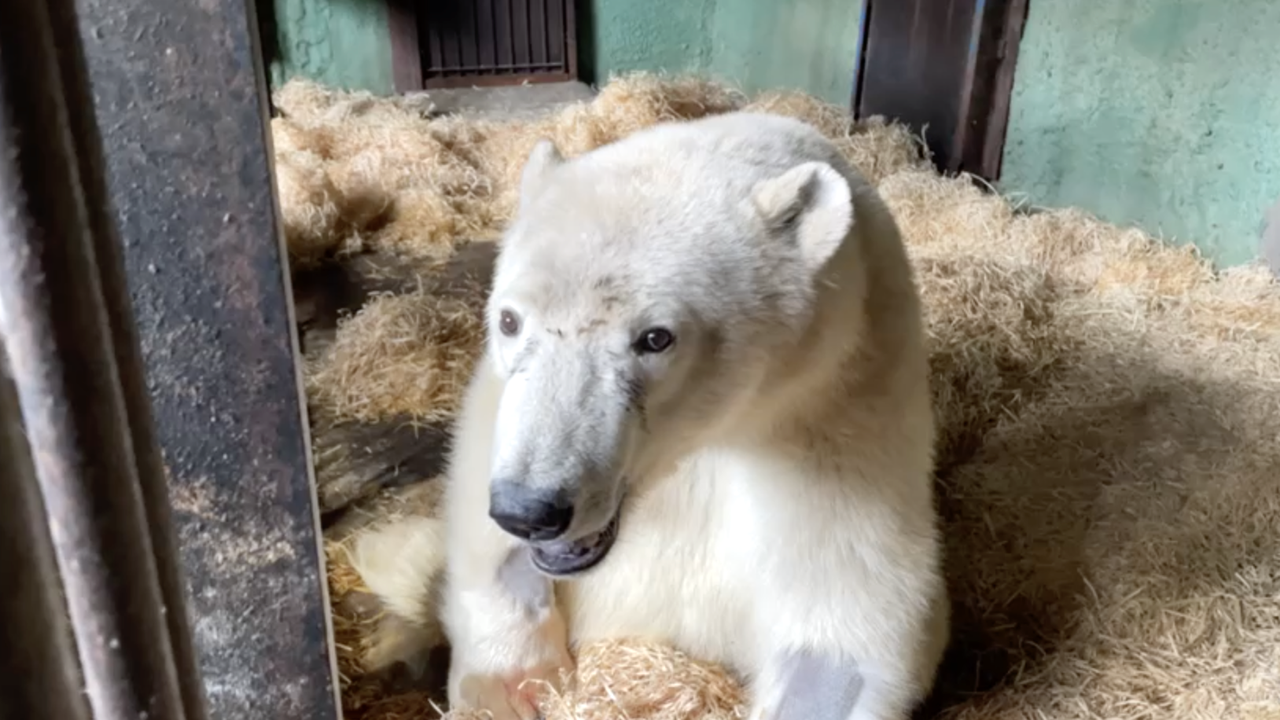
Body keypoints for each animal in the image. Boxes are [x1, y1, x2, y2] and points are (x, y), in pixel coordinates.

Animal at [381, 109, 952, 717]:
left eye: (655, 338)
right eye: (509, 321)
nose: (531, 509)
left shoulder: (842, 419)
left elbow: (841, 635)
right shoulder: (497, 402)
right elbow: (479, 530)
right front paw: (512, 685)